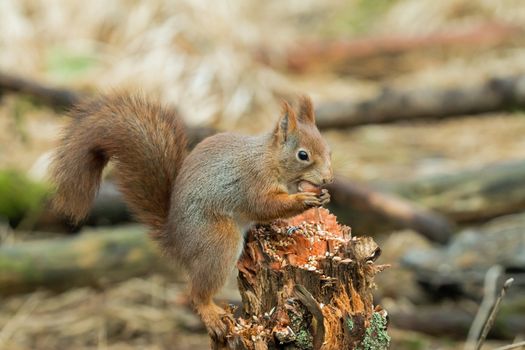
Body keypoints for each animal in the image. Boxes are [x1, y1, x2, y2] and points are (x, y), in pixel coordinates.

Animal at [51, 93, 334, 342]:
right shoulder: (252, 183)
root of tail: (176, 241)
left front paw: (322, 198)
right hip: (218, 241)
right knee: (197, 293)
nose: (328, 179)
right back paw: (211, 314)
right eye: (303, 155)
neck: (270, 159)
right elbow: (266, 206)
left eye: (329, 150)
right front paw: (302, 201)